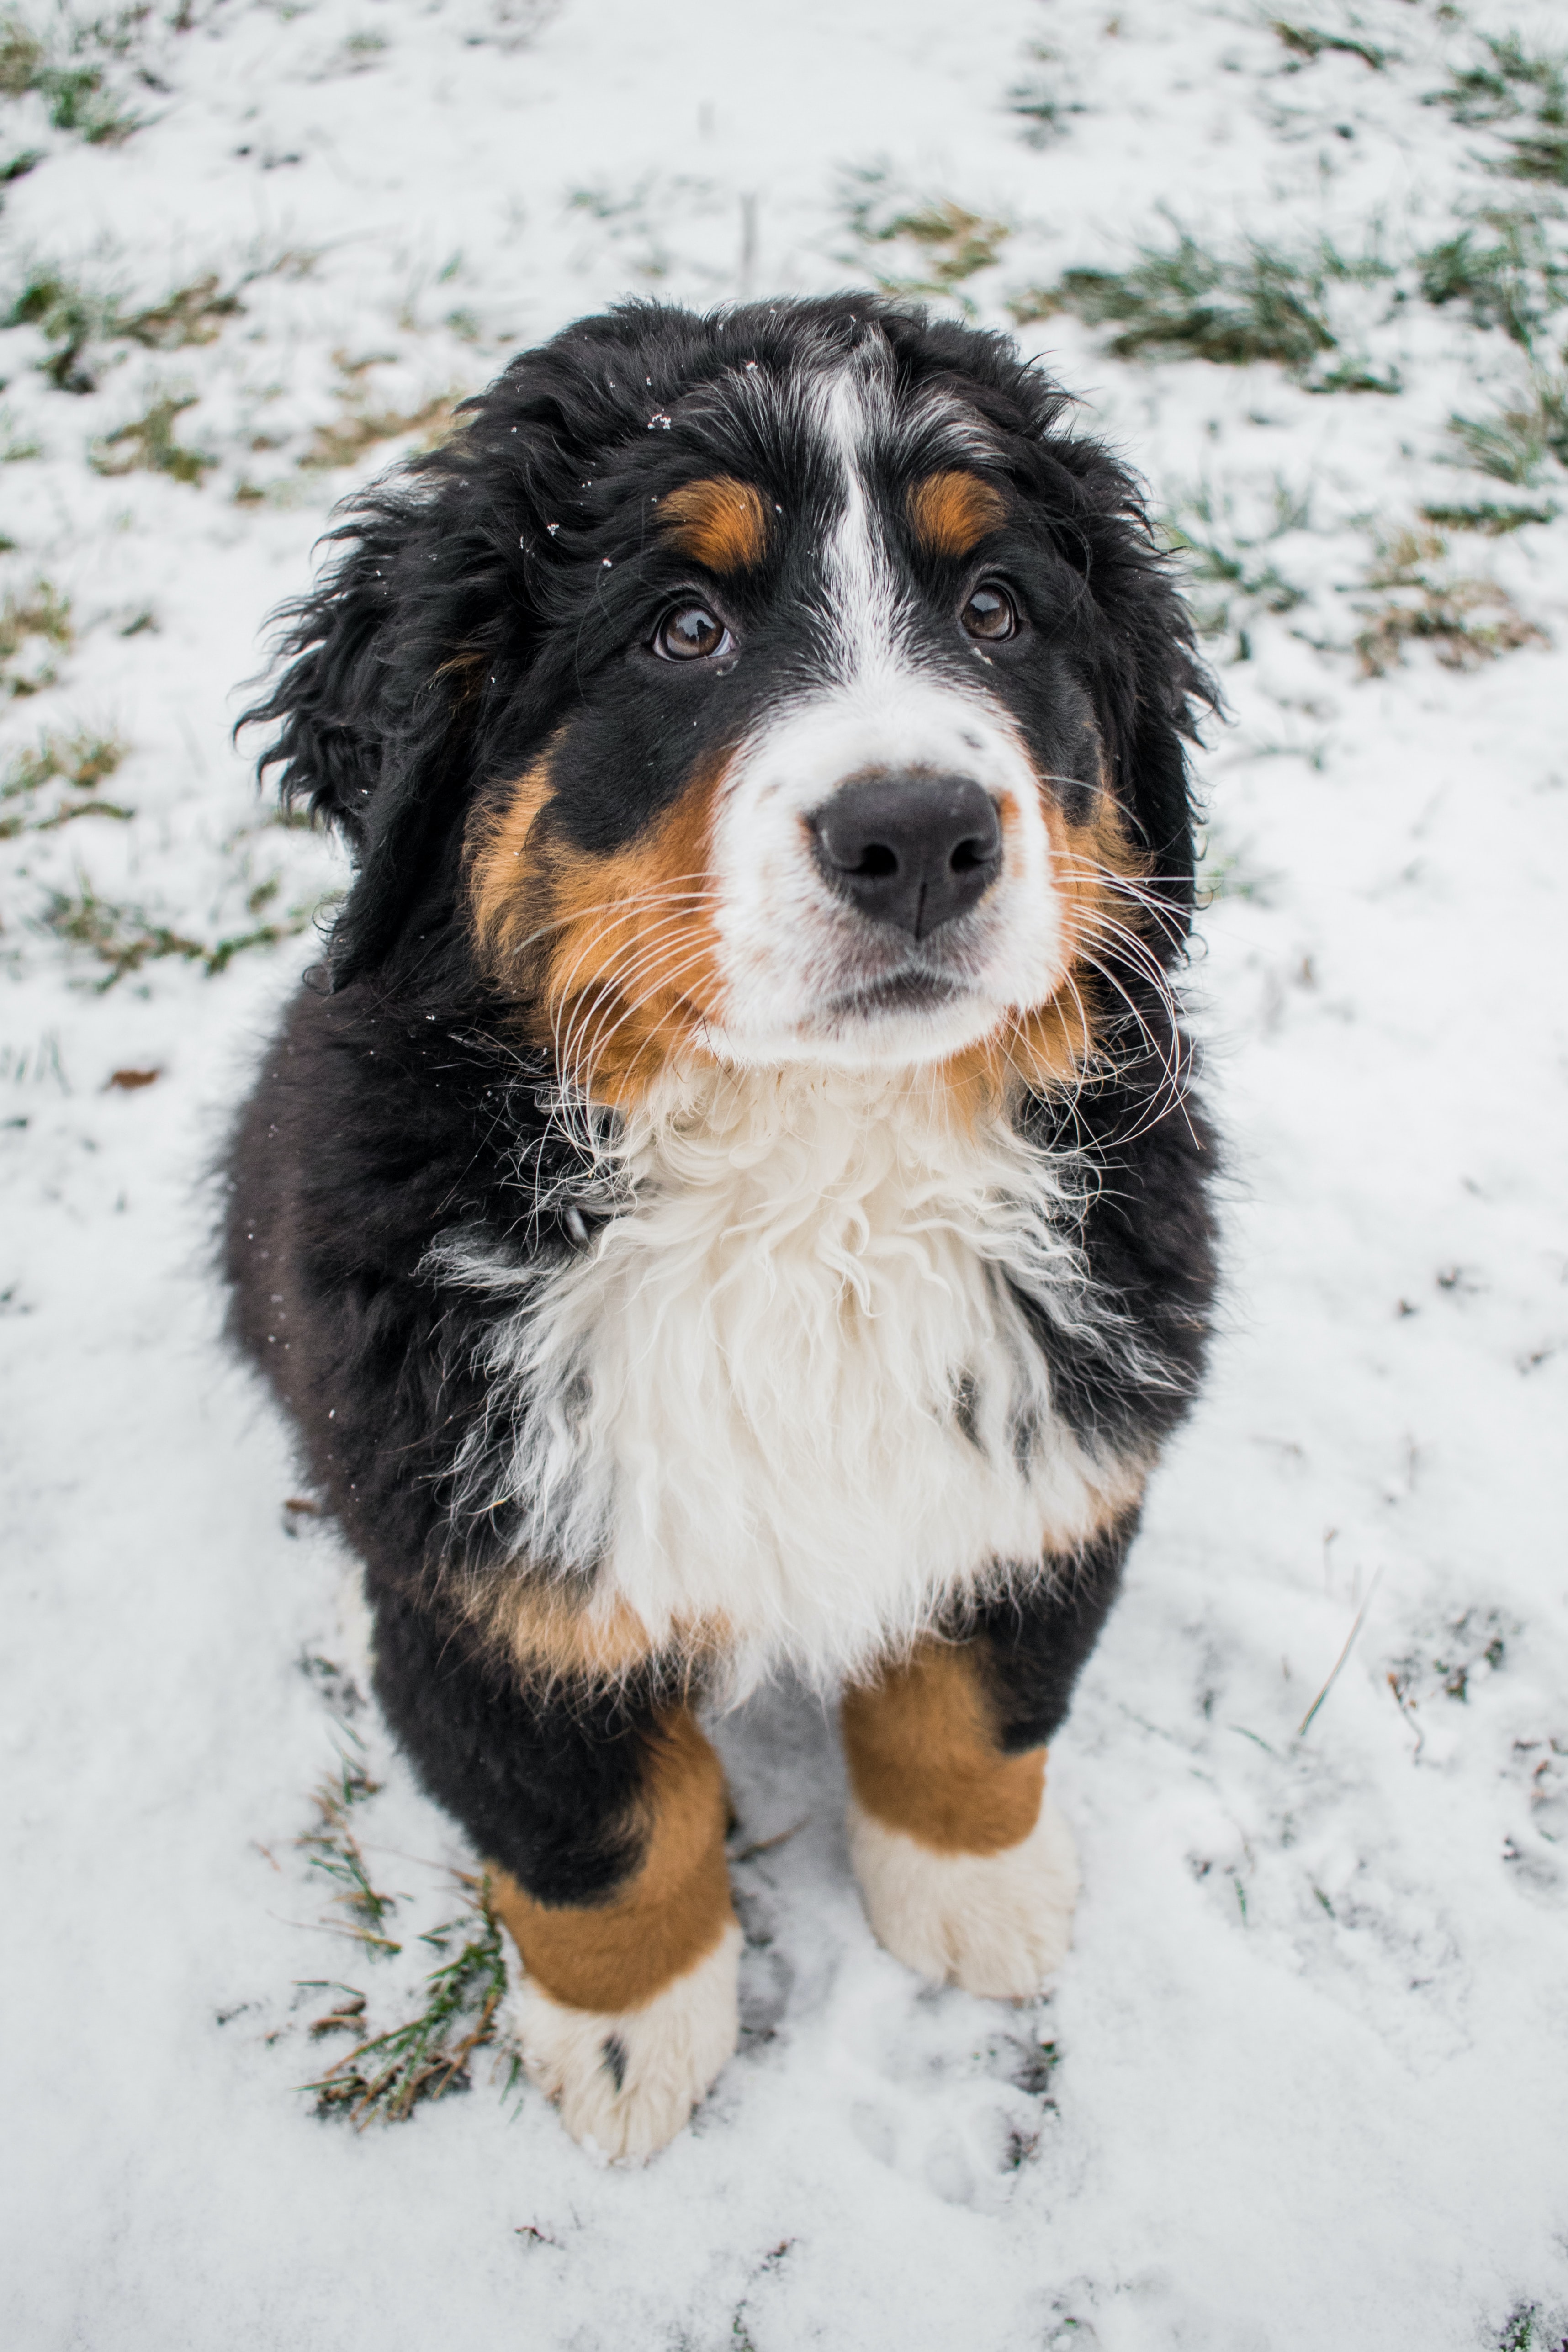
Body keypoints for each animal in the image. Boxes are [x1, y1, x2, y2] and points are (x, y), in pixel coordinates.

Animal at [227, 298, 1222, 2164]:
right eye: (682, 630)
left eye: (997, 612)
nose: (920, 833)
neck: (804, 1187)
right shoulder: (491, 1582)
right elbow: (603, 1830)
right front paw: (631, 2042)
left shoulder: (1055, 1454)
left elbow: (973, 1708)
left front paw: (977, 1894)